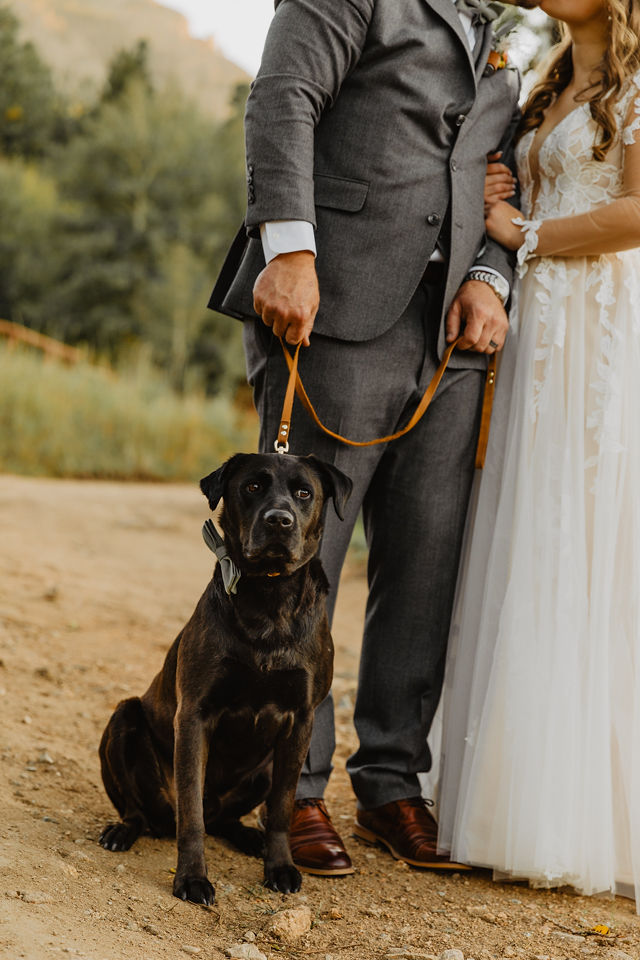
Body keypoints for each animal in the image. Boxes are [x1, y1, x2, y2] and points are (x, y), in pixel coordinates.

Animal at [97, 454, 352, 904]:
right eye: (252, 487)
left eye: (304, 492)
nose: (279, 520)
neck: (270, 597)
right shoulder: (195, 715)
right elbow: (191, 816)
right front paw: (191, 878)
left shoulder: (300, 722)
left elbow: (282, 808)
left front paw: (280, 867)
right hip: (123, 719)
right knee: (144, 810)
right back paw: (123, 830)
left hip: (266, 766)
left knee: (224, 819)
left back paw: (250, 837)